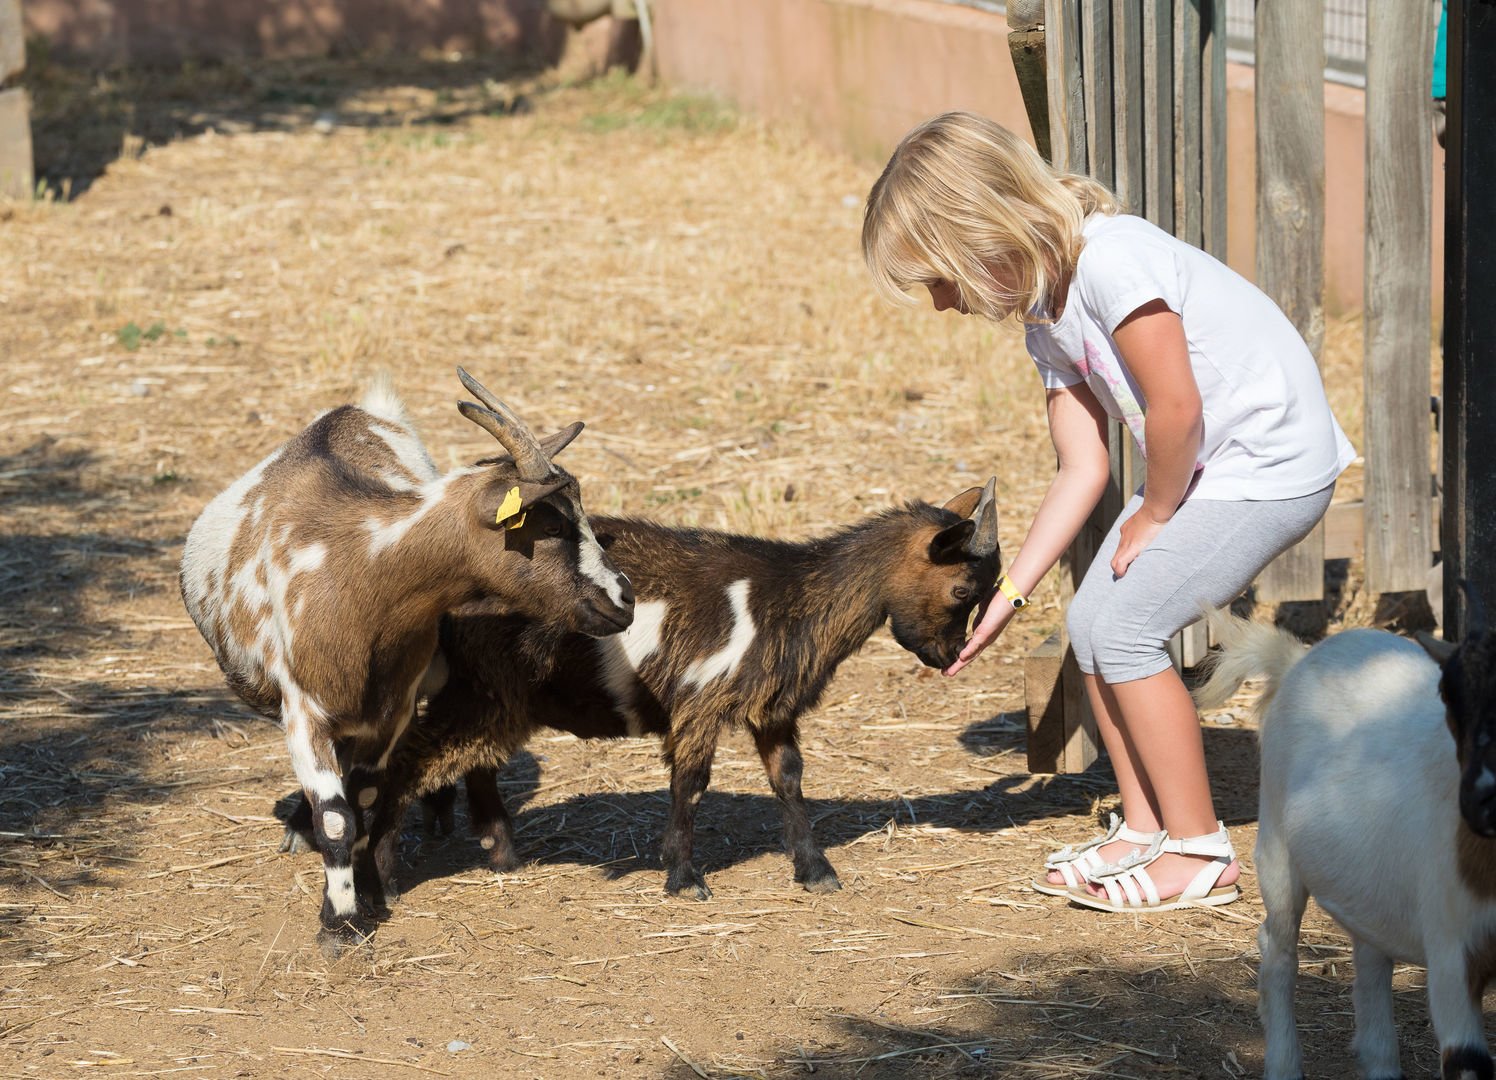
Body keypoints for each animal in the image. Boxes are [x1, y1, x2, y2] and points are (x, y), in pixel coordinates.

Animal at [180, 368, 634, 943]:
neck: (357, 571)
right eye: (551, 526)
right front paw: (341, 923)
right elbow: (337, 816)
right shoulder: (304, 710)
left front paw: (371, 889)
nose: (624, 599)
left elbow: (365, 799)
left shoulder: (390, 708)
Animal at [376, 479, 1000, 899]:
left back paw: (502, 854)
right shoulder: (701, 701)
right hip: (486, 687)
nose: (951, 657)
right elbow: (691, 784)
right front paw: (683, 877)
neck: (792, 594)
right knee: (406, 762)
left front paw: (817, 871)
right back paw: (386, 878)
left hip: (497, 695)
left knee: (471, 760)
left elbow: (789, 779)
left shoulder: (771, 708)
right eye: (962, 589)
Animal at [1195, 596, 1496, 1080]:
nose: (1481, 801)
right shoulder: (1453, 954)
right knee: (1278, 948)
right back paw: (1283, 1064)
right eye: (1450, 696)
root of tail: (1299, 658)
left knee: (1370, 953)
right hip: (1275, 839)